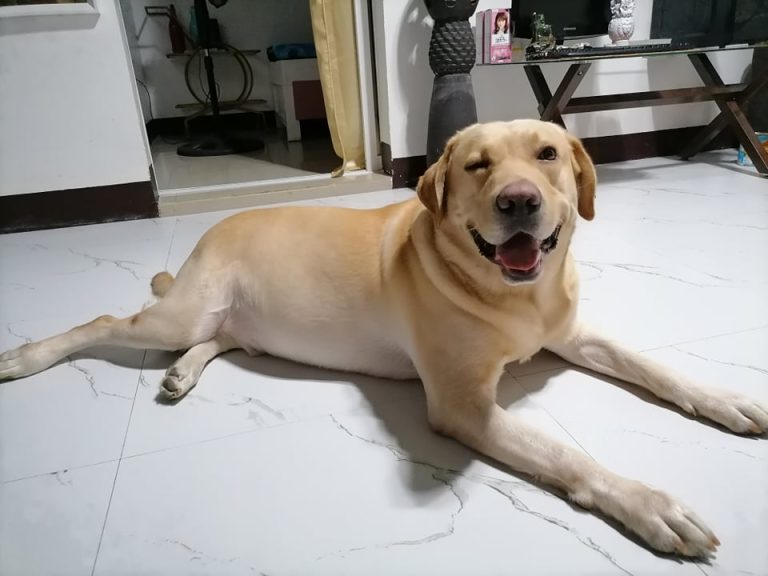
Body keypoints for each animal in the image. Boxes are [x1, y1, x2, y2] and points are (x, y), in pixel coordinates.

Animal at [2, 120, 766, 557]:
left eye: (548, 154)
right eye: (477, 165)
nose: (519, 202)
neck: (518, 294)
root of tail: (213, 227)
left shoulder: (572, 333)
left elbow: (652, 366)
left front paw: (726, 399)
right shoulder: (463, 405)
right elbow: (569, 457)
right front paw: (650, 505)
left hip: (229, 324)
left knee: (223, 341)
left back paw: (183, 373)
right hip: (181, 311)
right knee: (105, 325)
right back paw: (26, 356)